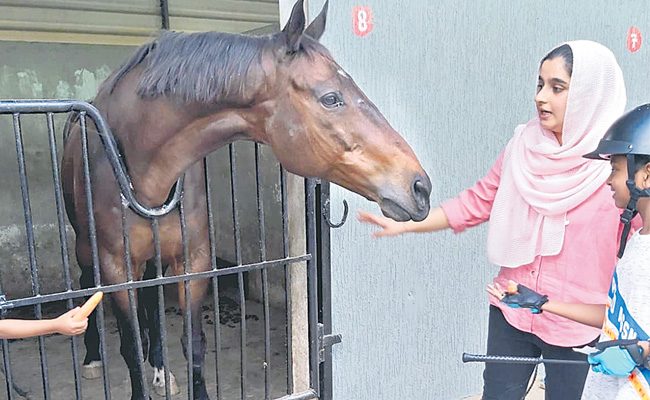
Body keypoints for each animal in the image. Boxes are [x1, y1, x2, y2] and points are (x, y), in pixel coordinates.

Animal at [61, 1, 431, 399]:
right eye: (331, 98)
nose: (420, 187)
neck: (146, 174)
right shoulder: (116, 269)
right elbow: (129, 347)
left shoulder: (193, 262)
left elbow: (193, 343)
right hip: (88, 250)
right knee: (88, 284)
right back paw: (93, 358)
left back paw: (159, 368)